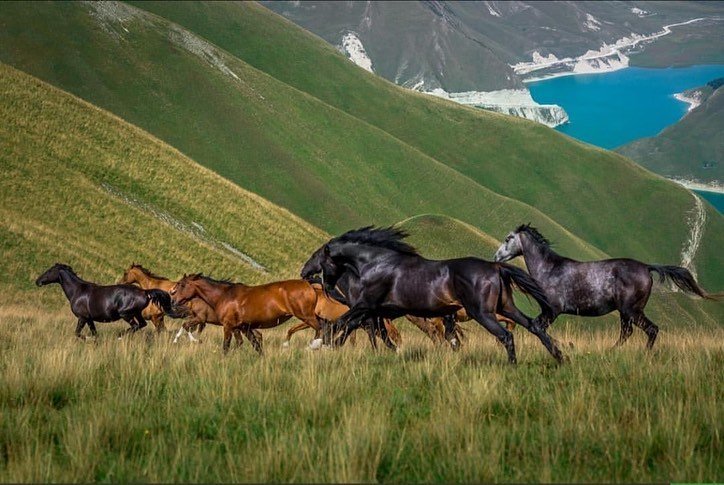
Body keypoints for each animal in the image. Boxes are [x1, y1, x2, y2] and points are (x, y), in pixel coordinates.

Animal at [36, 262, 187, 338]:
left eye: (49, 271)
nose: (38, 281)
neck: (77, 291)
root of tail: (144, 291)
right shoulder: (89, 319)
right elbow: (95, 334)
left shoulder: (82, 318)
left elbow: (78, 333)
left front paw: (86, 338)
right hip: (138, 314)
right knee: (142, 325)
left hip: (126, 314)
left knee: (136, 326)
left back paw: (120, 335)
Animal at [170, 274, 320, 354]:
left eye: (182, 284)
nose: (173, 299)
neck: (223, 296)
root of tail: (309, 285)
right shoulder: (243, 327)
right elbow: (255, 346)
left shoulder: (228, 326)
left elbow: (226, 346)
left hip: (306, 316)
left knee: (321, 329)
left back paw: (314, 346)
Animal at [300, 227, 564, 364]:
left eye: (318, 256)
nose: (304, 272)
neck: (376, 263)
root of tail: (496, 266)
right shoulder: (375, 310)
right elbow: (358, 327)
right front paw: (329, 345)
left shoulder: (366, 305)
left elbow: (341, 322)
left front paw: (318, 344)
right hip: (505, 307)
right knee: (534, 326)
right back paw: (560, 358)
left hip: (483, 313)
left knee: (506, 336)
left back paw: (513, 366)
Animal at [492, 224, 720, 348]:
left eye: (508, 238)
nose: (496, 257)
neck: (550, 269)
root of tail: (646, 267)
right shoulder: (549, 312)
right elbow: (534, 326)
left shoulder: (552, 310)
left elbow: (536, 327)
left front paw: (564, 345)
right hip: (626, 312)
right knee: (630, 332)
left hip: (631, 310)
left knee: (649, 330)